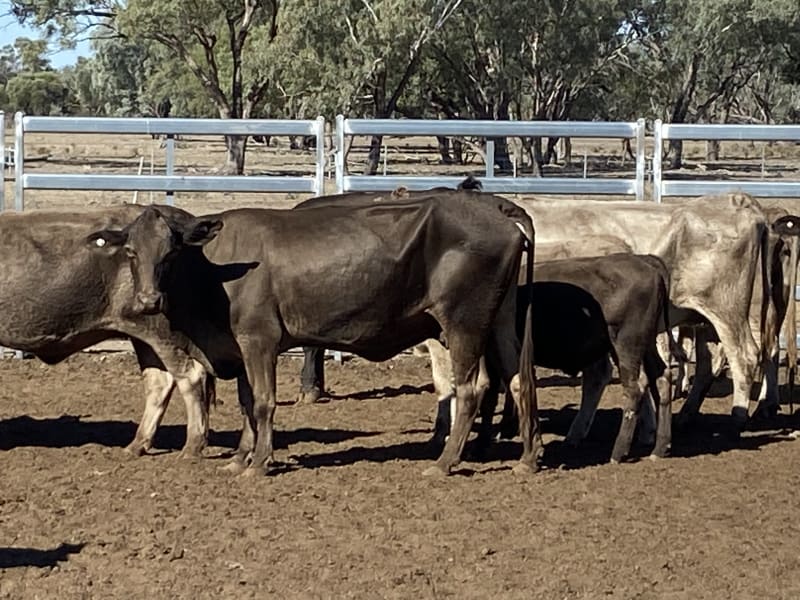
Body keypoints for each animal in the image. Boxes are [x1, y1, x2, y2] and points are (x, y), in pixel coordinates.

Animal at [0, 206, 215, 458]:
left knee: (190, 375)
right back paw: (136, 445)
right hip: (144, 334)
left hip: (162, 330)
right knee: (159, 382)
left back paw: (192, 446)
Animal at [88, 190, 540, 477]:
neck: (216, 270)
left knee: (471, 388)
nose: (148, 300)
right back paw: (527, 458)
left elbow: (264, 402)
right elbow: (247, 403)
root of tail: (500, 209)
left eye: (171, 252)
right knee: (518, 380)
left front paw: (259, 463)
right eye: (131, 252)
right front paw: (240, 457)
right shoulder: (240, 347)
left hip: (463, 321)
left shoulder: (260, 340)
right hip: (499, 319)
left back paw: (445, 462)